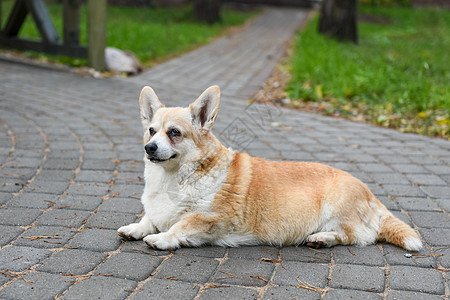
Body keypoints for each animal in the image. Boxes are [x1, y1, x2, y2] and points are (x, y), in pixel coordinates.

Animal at [117, 85, 422, 251]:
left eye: (174, 133)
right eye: (151, 130)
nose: (149, 148)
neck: (172, 179)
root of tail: (372, 196)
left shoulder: (210, 219)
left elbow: (180, 226)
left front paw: (162, 238)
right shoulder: (157, 210)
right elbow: (148, 218)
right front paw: (135, 228)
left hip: (337, 209)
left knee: (355, 236)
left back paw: (321, 237)